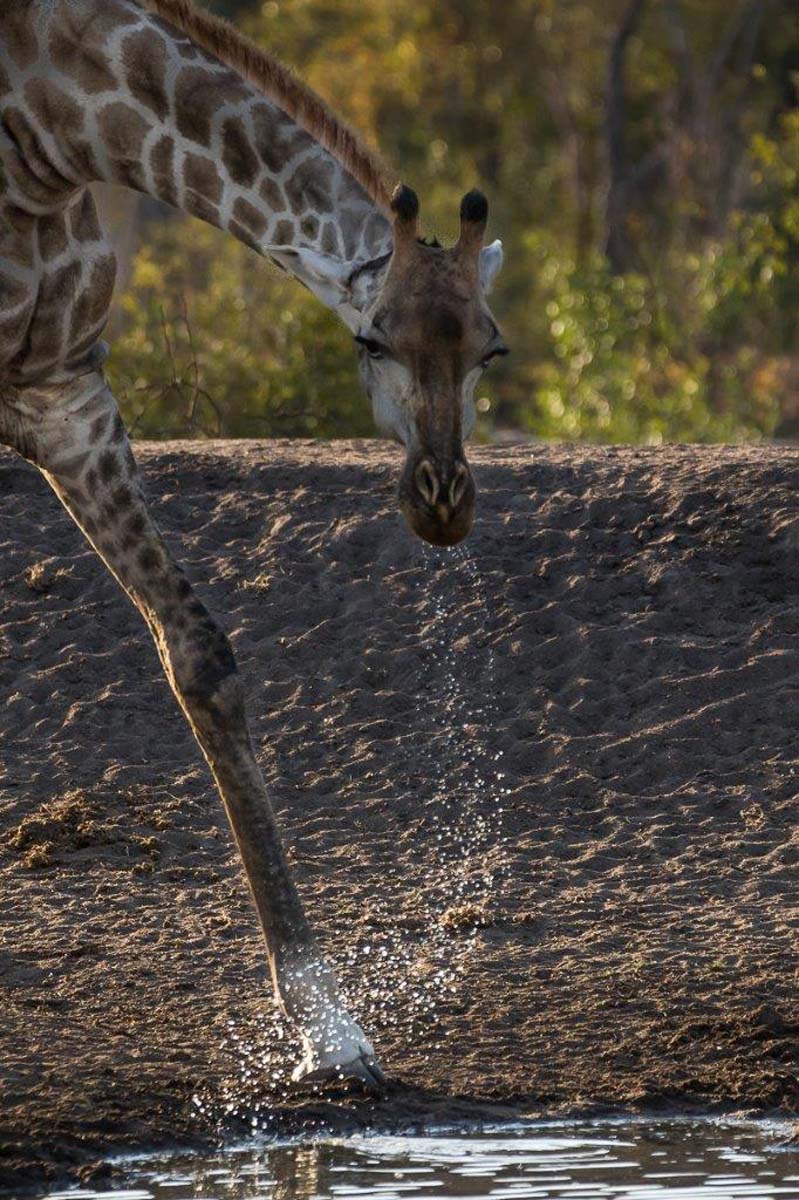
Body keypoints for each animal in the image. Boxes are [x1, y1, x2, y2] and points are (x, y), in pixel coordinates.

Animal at [1, 0, 503, 1094]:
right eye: (369, 338)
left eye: (491, 347)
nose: (441, 502)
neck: (47, 127)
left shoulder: (62, 395)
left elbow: (203, 662)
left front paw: (330, 1033)